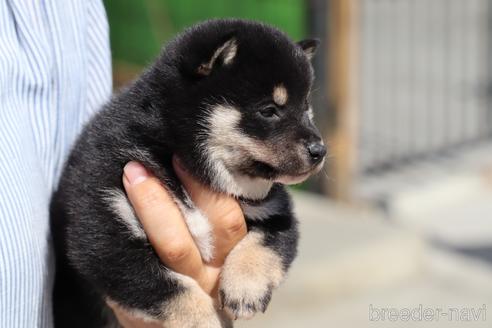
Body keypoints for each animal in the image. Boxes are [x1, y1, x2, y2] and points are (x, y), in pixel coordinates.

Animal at [50, 18, 326, 328]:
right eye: (268, 110)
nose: (320, 150)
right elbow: (167, 287)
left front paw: (246, 286)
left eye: (306, 108)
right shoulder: (103, 228)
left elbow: (266, 244)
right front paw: (203, 319)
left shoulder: (277, 212)